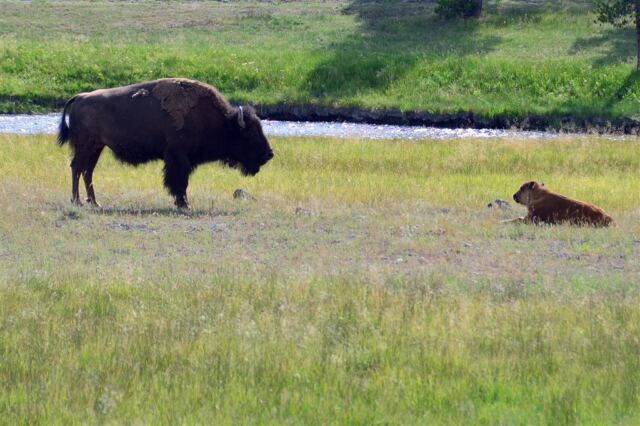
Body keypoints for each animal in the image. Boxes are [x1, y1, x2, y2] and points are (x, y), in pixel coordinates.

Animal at [57, 78, 273, 208]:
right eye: (250, 134)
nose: (269, 154)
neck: (220, 121)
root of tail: (80, 97)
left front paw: (182, 203)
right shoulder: (178, 157)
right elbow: (179, 181)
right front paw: (184, 204)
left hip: (96, 148)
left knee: (87, 172)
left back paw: (95, 202)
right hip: (85, 146)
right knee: (77, 168)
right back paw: (77, 201)